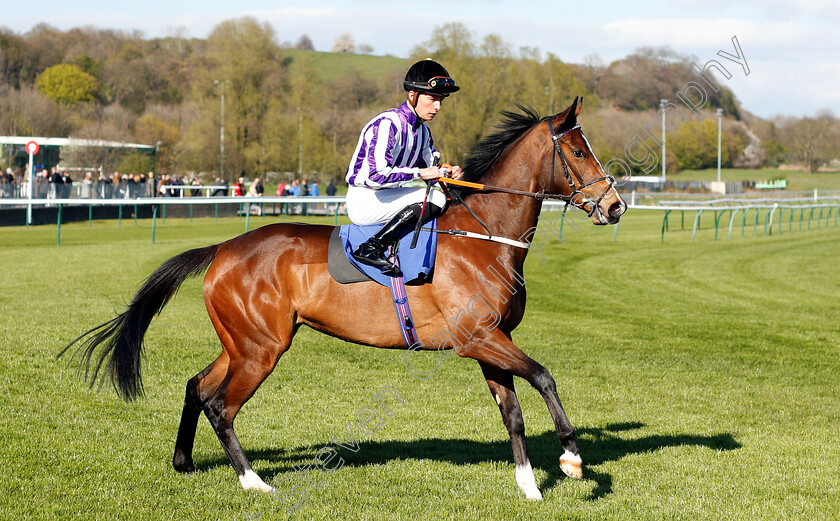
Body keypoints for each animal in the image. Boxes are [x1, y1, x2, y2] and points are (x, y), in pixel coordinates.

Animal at [64, 97, 624, 500]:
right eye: (578, 152)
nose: (615, 206)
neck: (484, 238)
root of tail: (222, 248)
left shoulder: (491, 341)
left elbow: (513, 412)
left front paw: (530, 487)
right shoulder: (479, 339)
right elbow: (545, 377)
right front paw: (573, 459)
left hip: (243, 343)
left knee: (197, 387)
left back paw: (184, 462)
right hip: (261, 350)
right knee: (221, 406)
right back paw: (254, 482)